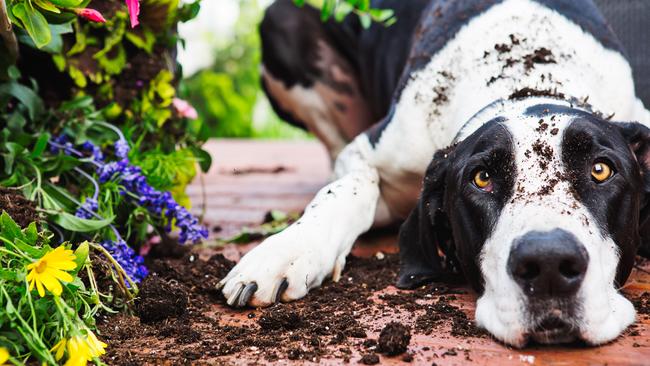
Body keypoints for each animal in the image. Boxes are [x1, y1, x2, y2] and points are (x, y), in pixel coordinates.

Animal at [216, 0, 648, 346]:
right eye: (481, 178)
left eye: (600, 169)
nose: (549, 265)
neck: (528, 78)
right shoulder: (370, 151)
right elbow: (348, 189)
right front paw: (288, 250)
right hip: (281, 24)